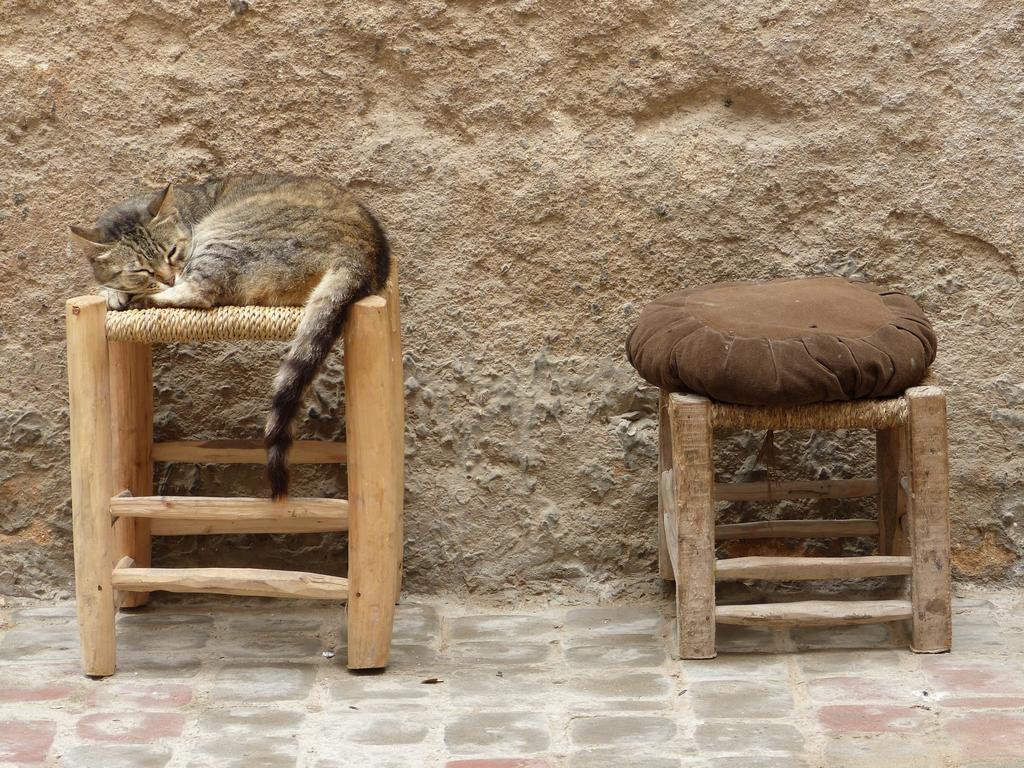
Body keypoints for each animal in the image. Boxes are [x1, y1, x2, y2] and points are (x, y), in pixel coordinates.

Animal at [71, 174, 391, 499]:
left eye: (171, 252)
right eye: (140, 269)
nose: (168, 279)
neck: (185, 213)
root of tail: (363, 251)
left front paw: (123, 294)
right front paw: (111, 292)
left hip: (224, 235)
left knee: (201, 292)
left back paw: (145, 300)